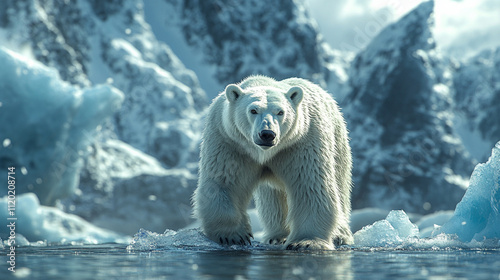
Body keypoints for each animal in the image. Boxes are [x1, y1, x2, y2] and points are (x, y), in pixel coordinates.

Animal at [193, 75, 354, 249]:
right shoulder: (229, 140)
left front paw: (306, 242)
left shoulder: (301, 142)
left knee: (341, 186)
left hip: (338, 141)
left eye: (280, 112)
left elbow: (310, 186)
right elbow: (224, 182)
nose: (267, 134)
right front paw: (233, 236)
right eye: (253, 110)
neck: (264, 152)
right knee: (272, 198)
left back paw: (340, 235)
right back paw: (277, 236)